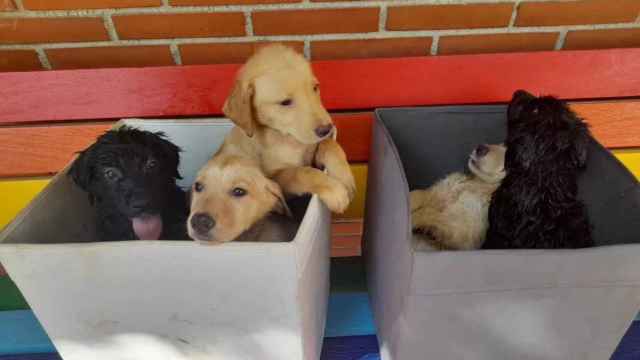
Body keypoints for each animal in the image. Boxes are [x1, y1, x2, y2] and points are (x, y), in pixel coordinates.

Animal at [220, 44, 356, 214]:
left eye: (315, 88)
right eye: (285, 102)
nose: (326, 129)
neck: (289, 138)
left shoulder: (313, 153)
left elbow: (329, 144)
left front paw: (344, 178)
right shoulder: (275, 179)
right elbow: (301, 172)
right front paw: (335, 191)